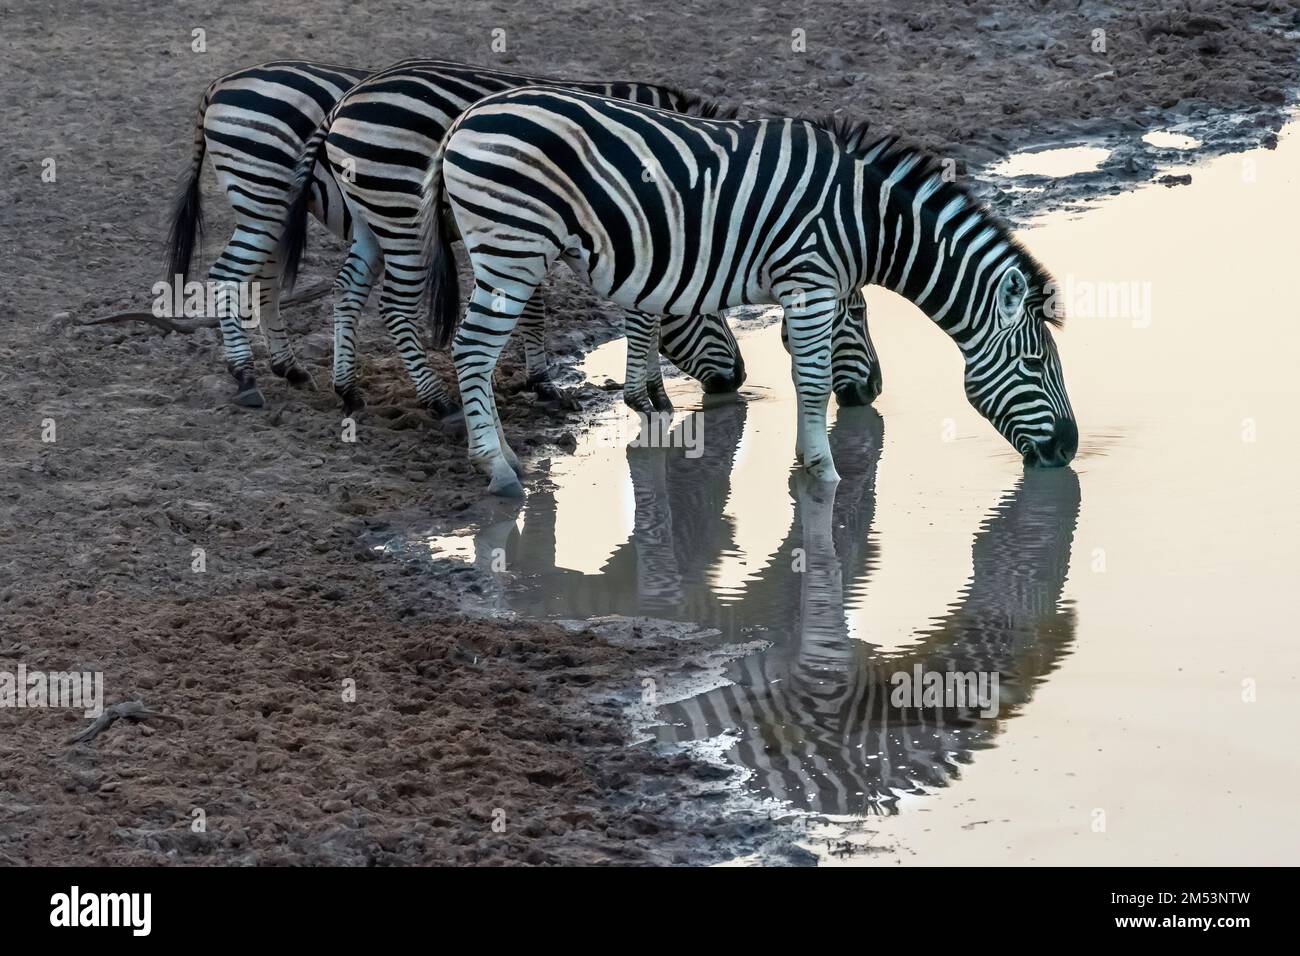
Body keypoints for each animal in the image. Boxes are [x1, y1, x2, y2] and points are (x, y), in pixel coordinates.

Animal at [165, 60, 756, 416]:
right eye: (712, 305)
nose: (739, 380)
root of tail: (222, 84)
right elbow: (578, 309)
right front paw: (556, 383)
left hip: (274, 204)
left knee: (265, 277)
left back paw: (301, 372)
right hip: (274, 192)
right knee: (230, 274)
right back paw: (247, 377)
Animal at [421, 86, 1077, 497]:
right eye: (1035, 363)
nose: (1069, 451)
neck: (869, 219)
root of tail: (465, 118)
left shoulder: (806, 285)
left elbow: (806, 376)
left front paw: (807, 465)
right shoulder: (810, 281)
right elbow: (812, 381)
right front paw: (824, 474)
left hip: (507, 249)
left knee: (474, 353)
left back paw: (506, 457)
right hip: (513, 247)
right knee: (472, 351)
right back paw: (498, 470)